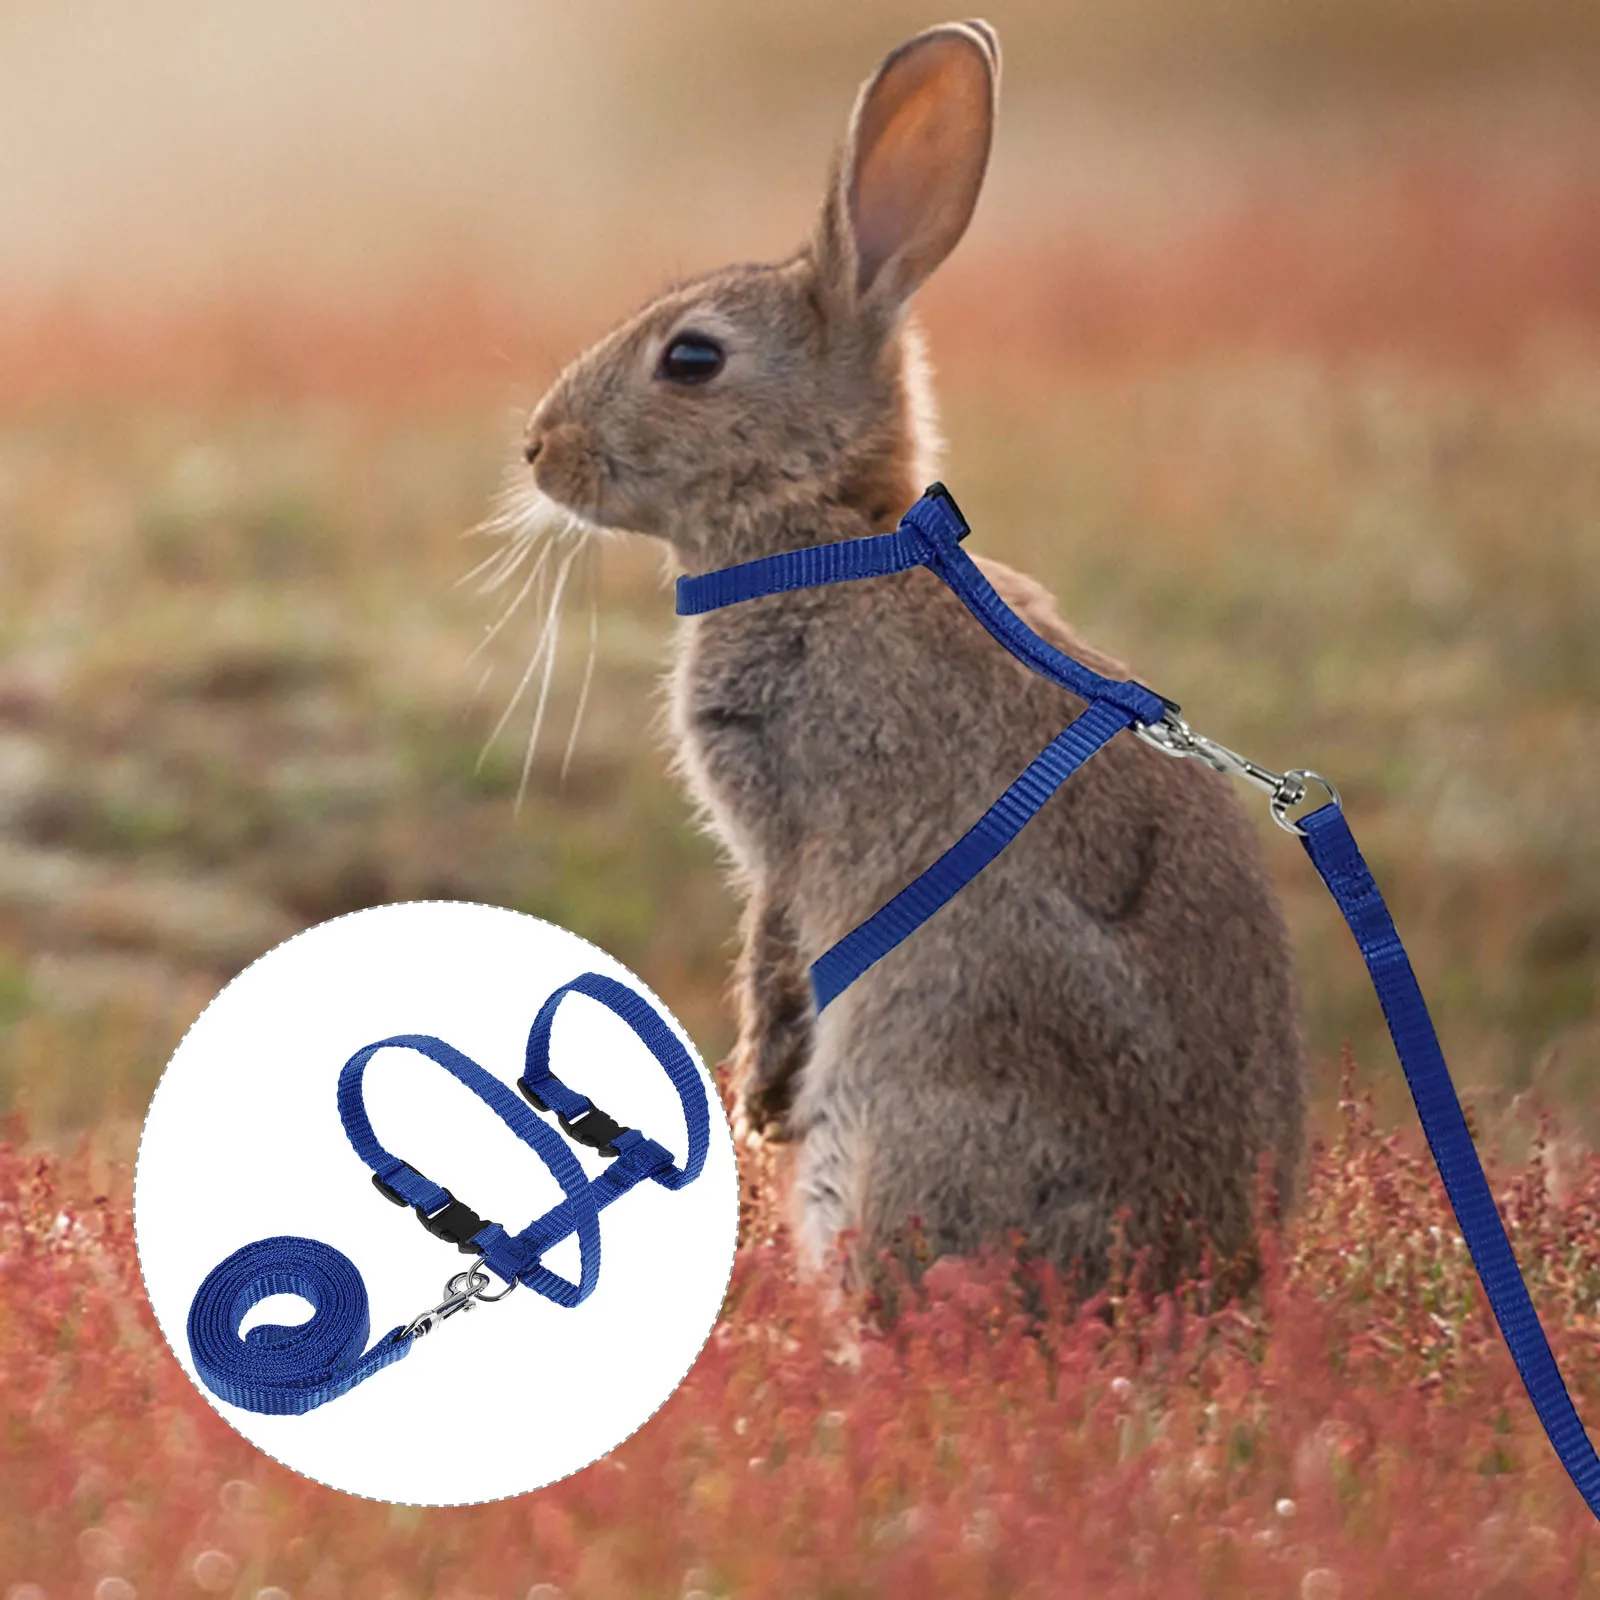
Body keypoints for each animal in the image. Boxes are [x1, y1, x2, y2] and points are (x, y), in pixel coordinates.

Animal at [519, 19, 1306, 1297]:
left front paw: (758, 1094)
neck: (824, 538)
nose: (539, 448)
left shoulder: (793, 826)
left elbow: (776, 945)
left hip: (903, 1135)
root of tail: (1186, 1281)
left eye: (690, 359)